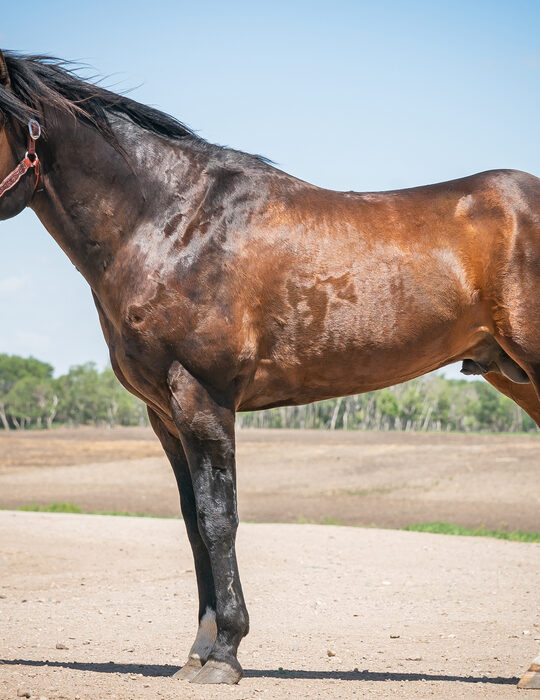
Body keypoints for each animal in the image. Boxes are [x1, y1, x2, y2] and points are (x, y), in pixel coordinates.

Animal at [1, 52, 540, 688]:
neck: (169, 223)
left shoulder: (203, 396)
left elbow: (218, 519)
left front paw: (225, 654)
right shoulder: (165, 415)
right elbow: (193, 524)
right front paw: (198, 652)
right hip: (513, 374)